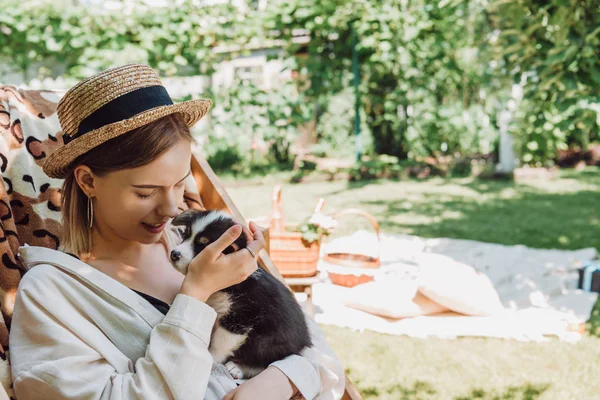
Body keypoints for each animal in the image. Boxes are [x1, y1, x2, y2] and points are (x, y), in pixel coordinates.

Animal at [168, 208, 312, 380]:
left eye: (203, 245)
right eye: (185, 235)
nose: (174, 254)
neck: (229, 286)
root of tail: (302, 344)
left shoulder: (239, 318)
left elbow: (220, 343)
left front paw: (211, 357)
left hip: (266, 341)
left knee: (266, 360)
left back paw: (238, 368)